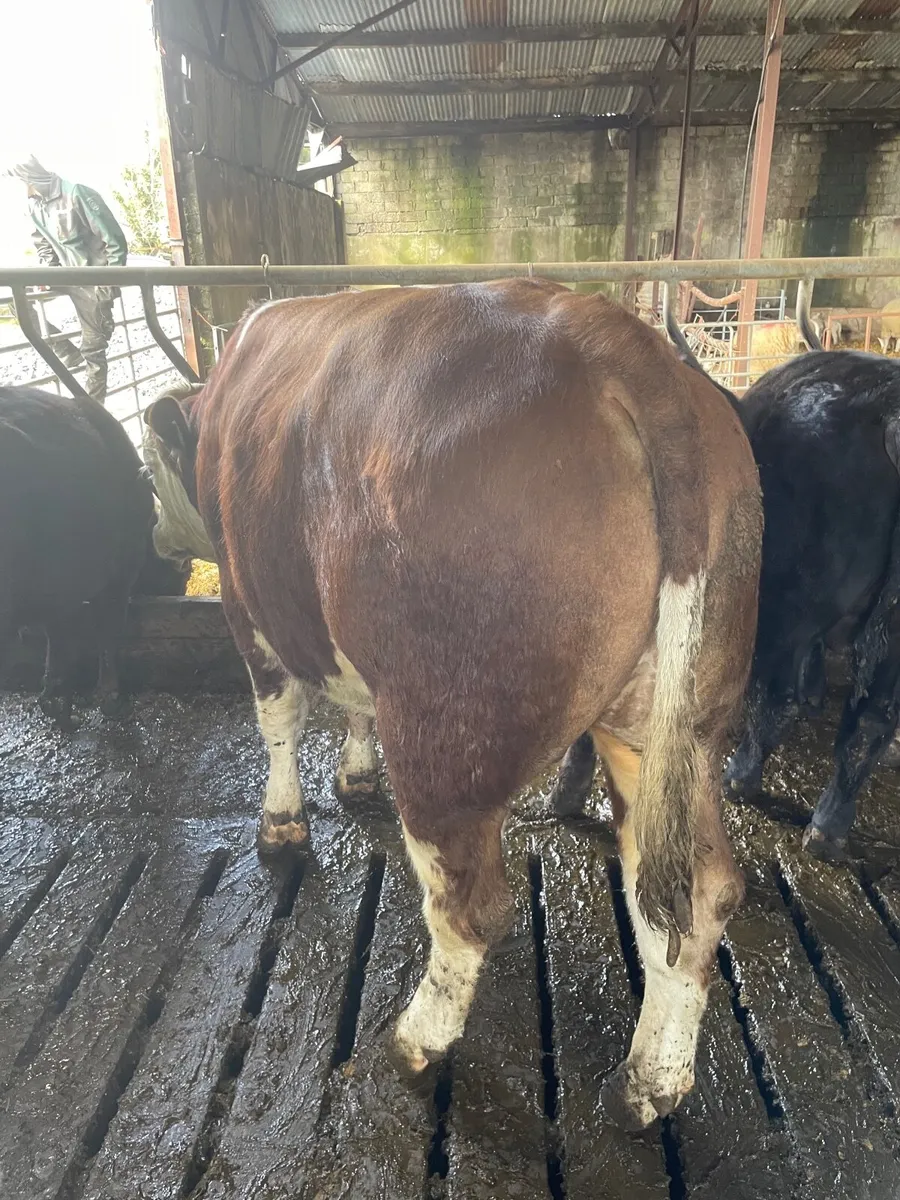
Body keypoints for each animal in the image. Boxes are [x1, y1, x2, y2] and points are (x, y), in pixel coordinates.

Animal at [0, 384, 188, 726]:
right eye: (182, 573)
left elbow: (57, 639)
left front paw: (55, 701)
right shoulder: (117, 576)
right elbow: (106, 632)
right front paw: (111, 699)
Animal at [143, 279, 761, 1130]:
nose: (159, 542)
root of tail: (614, 339)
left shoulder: (249, 604)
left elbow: (278, 718)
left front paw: (282, 826)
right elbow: (352, 705)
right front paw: (355, 776)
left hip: (446, 730)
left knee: (472, 905)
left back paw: (416, 1040)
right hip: (676, 727)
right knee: (695, 892)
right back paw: (648, 1083)